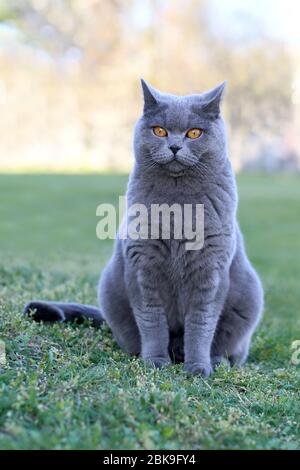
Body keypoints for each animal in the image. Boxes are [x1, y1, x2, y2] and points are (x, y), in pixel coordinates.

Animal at [24, 79, 262, 376]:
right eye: (159, 130)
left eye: (194, 133)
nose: (174, 146)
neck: (177, 208)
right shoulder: (142, 264)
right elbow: (152, 321)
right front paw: (155, 362)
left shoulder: (211, 268)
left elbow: (201, 324)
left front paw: (198, 368)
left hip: (250, 296)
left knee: (230, 347)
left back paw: (215, 360)